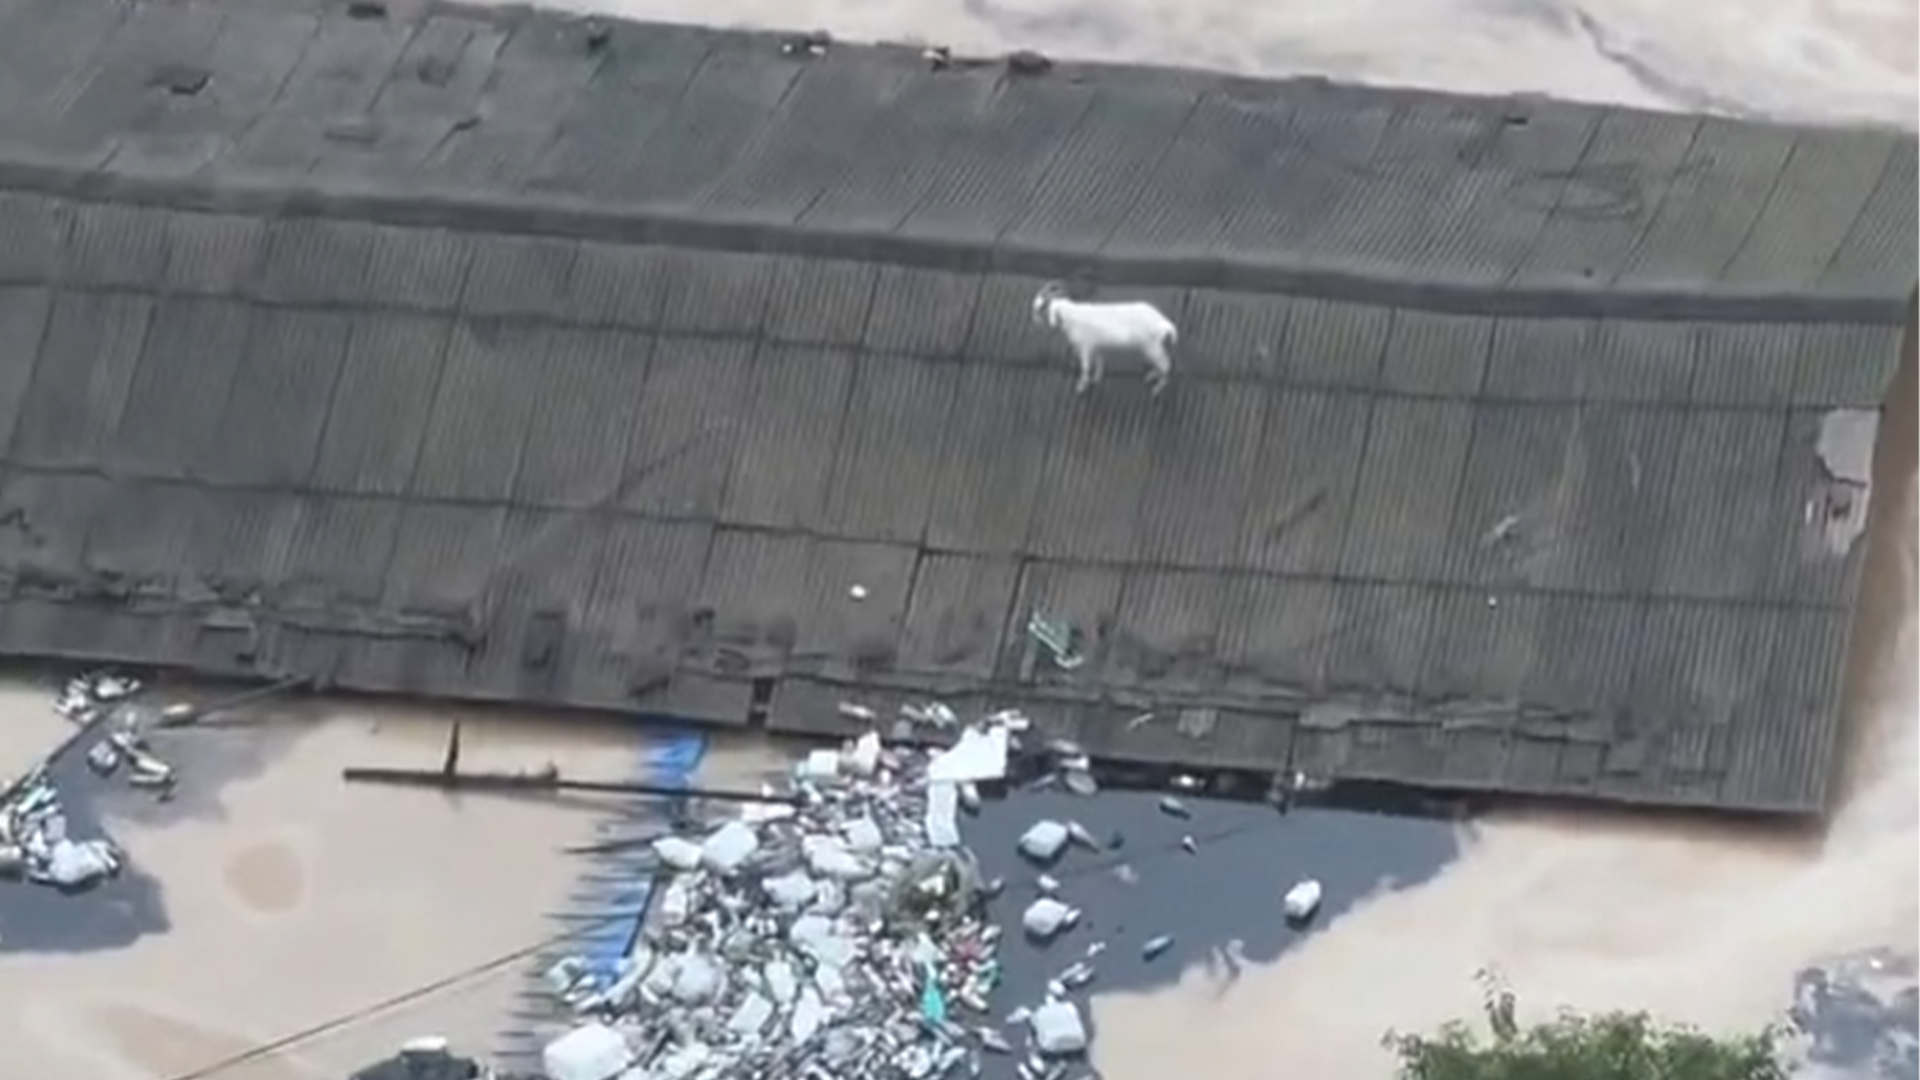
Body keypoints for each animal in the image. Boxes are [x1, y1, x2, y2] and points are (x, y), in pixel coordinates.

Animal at [1036, 278, 1167, 393]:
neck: (1071, 314)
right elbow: (1099, 364)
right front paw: (1096, 379)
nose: (1035, 310)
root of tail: (1163, 323)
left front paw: (1082, 386)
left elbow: (1086, 367)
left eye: (1044, 306)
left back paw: (1158, 387)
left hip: (1153, 348)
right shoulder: (1096, 347)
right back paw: (1152, 376)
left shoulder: (1086, 347)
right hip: (1152, 349)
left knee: (1166, 365)